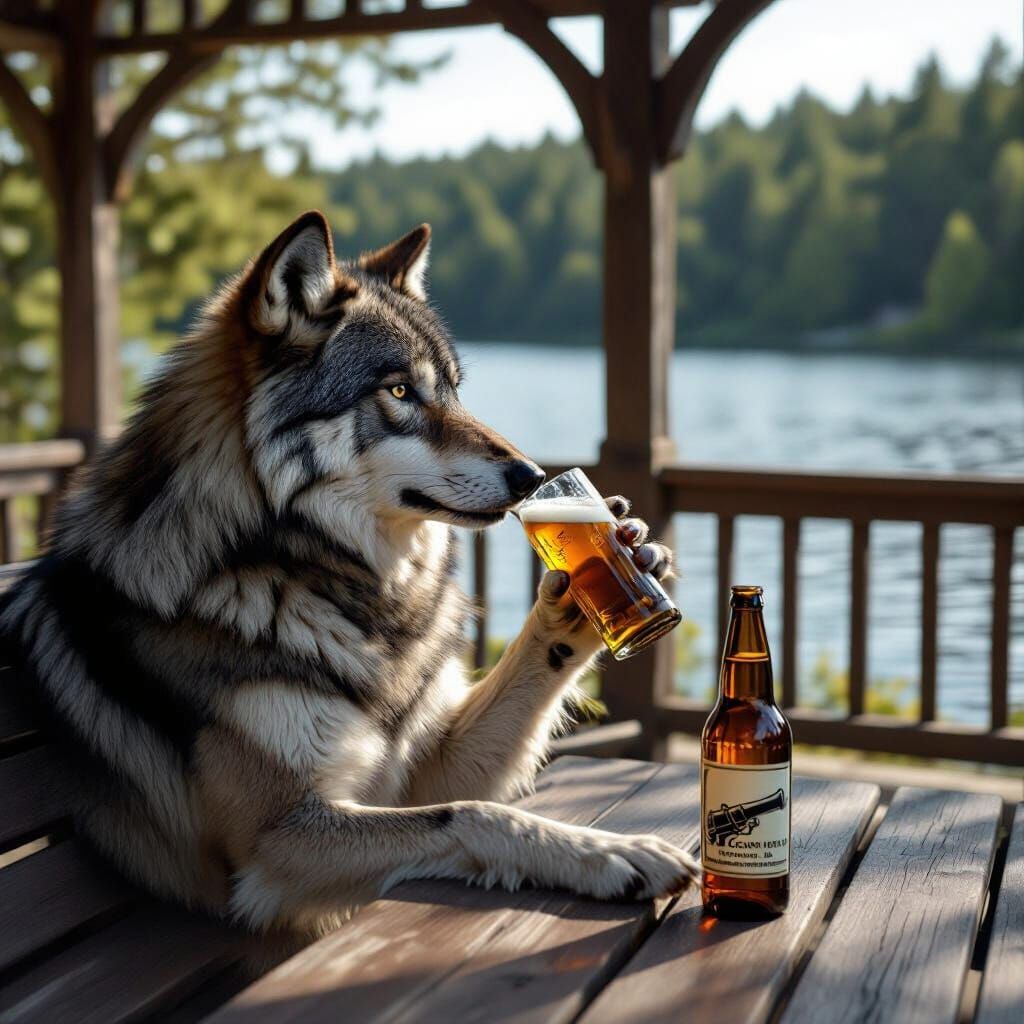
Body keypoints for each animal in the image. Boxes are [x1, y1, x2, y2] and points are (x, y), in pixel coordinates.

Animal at [0, 212, 697, 936]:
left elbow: (473, 779)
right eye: (399, 392)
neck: (303, 574)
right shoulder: (277, 838)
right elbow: (477, 814)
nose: (533, 477)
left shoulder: (419, 770)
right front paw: (613, 853)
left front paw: (622, 565)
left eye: (454, 390)